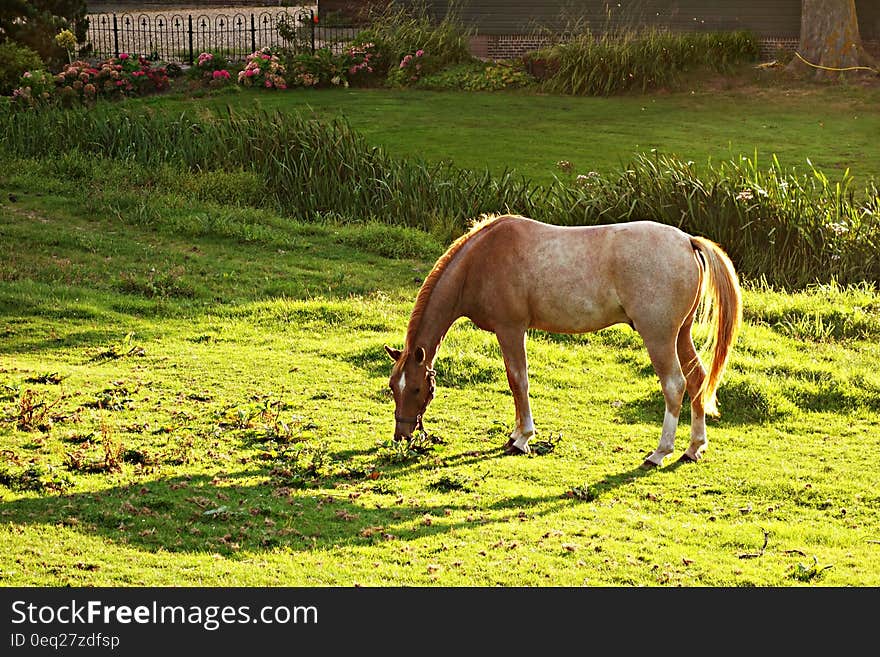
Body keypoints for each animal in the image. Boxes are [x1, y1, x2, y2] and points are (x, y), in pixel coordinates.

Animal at [386, 215, 744, 466]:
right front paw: (516, 434)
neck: (481, 260)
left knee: (675, 385)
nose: (401, 435)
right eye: (393, 387)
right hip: (680, 335)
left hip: (659, 337)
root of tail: (687, 241)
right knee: (697, 380)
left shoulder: (511, 329)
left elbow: (518, 381)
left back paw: (659, 452)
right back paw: (693, 448)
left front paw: (522, 438)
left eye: (416, 388)